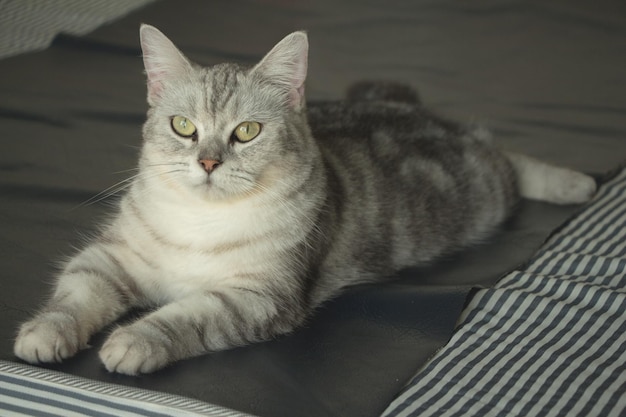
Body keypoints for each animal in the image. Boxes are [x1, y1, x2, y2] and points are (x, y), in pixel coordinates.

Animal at [12, 23, 592, 374]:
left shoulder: (257, 295)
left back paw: (575, 183)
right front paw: (45, 332)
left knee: (506, 153)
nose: (208, 162)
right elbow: (75, 295)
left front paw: (134, 341)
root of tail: (413, 111)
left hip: (487, 185)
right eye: (183, 126)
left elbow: (183, 317)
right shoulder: (112, 257)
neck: (202, 223)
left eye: (247, 131)